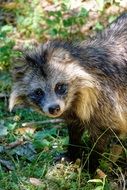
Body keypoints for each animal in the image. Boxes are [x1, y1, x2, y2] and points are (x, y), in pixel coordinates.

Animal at [9, 14, 127, 170]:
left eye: (59, 86)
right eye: (39, 92)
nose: (54, 108)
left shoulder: (108, 102)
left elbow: (100, 137)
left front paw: (91, 164)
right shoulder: (72, 111)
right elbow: (74, 129)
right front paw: (72, 152)